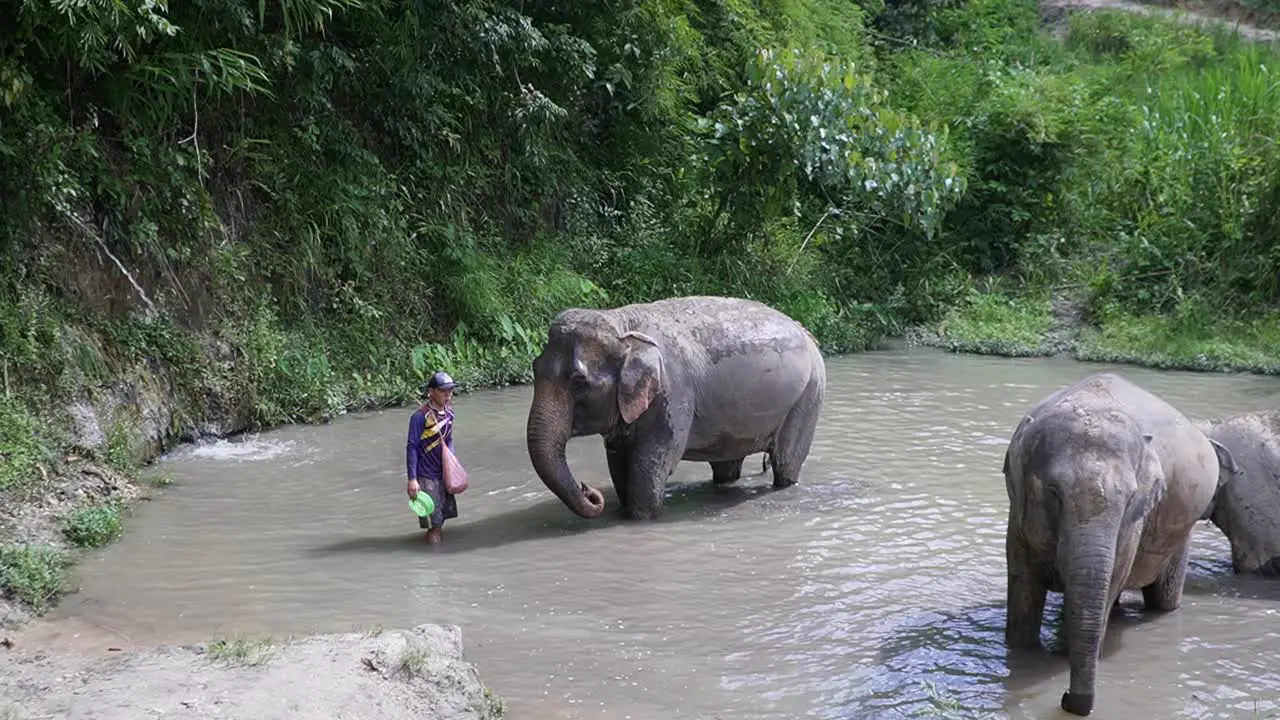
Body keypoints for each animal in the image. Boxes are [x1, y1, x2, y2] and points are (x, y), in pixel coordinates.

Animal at [524, 294, 824, 517]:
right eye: (534, 367)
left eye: (578, 381)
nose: (589, 490)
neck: (620, 323)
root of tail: (807, 332)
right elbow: (618, 464)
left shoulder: (673, 396)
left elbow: (648, 468)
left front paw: (638, 518)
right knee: (726, 468)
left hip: (808, 395)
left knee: (786, 462)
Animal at [998, 371, 1239, 712]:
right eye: (1054, 494)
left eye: (1129, 498)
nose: (1066, 699)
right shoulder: (1018, 516)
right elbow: (1024, 583)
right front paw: (1025, 655)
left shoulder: (1134, 522)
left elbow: (1113, 578)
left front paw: (1064, 654)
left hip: (1182, 530)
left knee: (1163, 599)